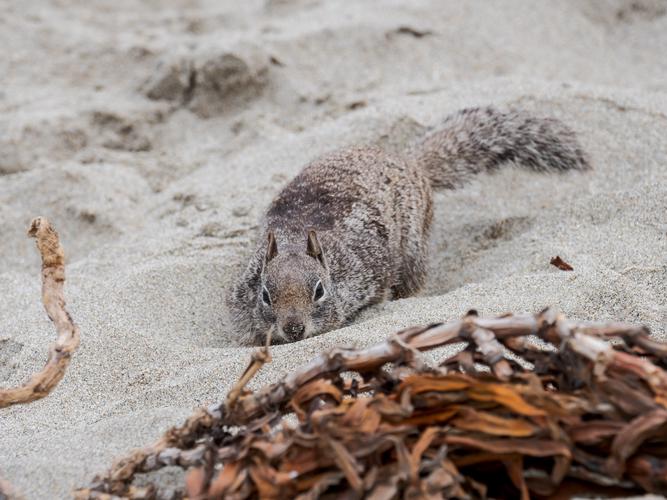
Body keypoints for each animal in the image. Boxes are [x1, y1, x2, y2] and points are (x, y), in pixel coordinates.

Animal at [227, 106, 590, 345]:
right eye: (265, 295)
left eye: (319, 291)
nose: (294, 329)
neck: (293, 239)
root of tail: (411, 162)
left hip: (414, 248)